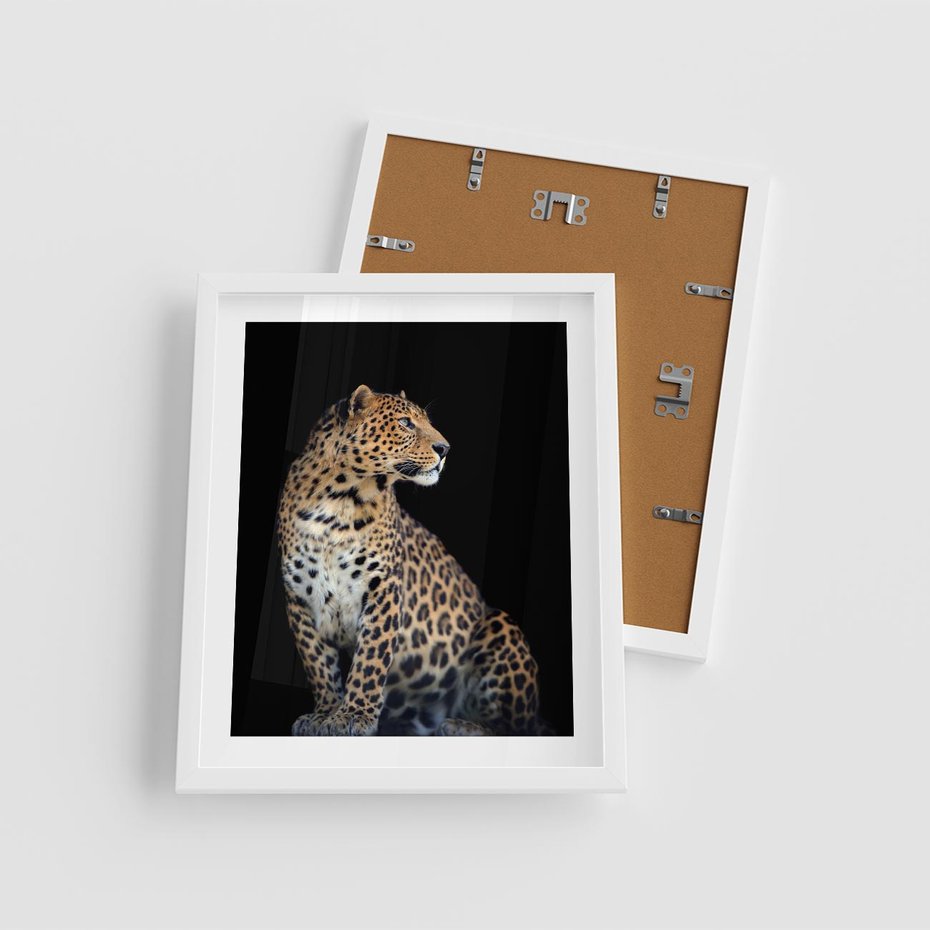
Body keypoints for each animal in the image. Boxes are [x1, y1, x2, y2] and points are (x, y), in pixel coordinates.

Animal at [276, 384, 547, 737]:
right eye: (405, 423)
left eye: (427, 422)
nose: (445, 449)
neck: (337, 501)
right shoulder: (299, 598)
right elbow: (318, 663)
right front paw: (324, 714)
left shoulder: (383, 587)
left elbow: (371, 658)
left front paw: (353, 716)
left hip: (500, 625)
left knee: (518, 726)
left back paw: (463, 726)